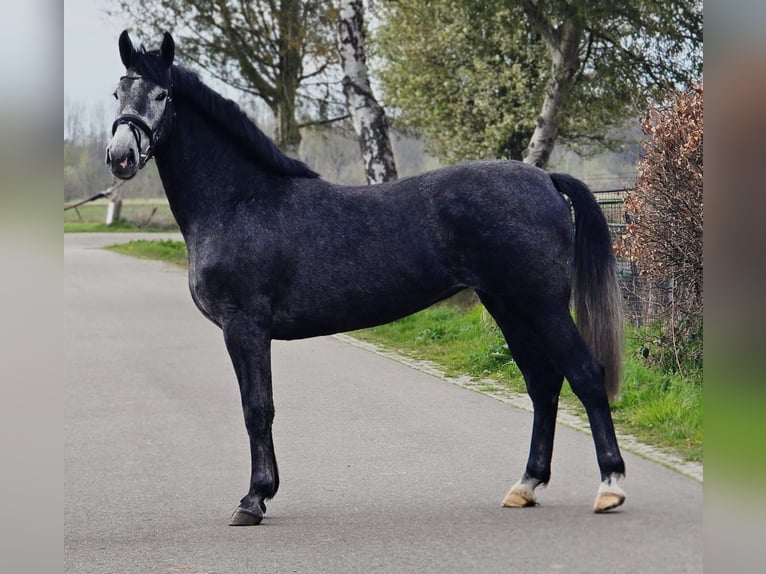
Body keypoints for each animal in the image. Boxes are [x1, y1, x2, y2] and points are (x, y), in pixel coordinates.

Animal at [106, 30, 626, 526]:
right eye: (118, 91)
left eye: (162, 94)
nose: (120, 156)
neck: (238, 201)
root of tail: (546, 180)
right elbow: (260, 408)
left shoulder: (244, 326)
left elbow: (257, 408)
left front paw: (254, 499)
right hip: (508, 306)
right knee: (543, 383)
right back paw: (527, 485)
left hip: (543, 305)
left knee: (585, 374)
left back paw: (610, 487)